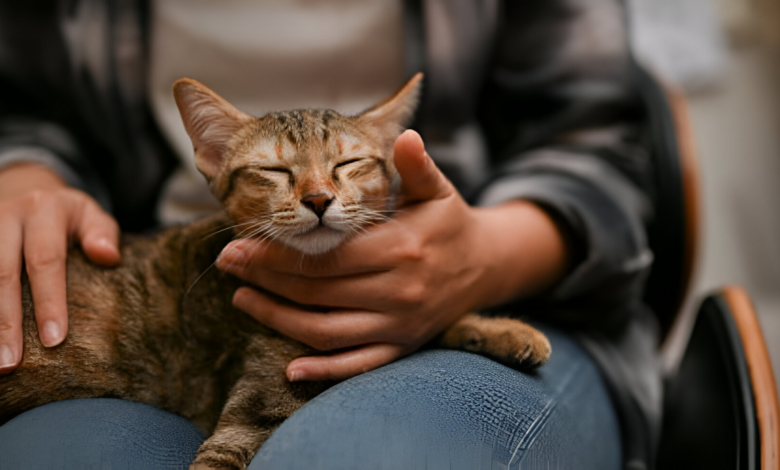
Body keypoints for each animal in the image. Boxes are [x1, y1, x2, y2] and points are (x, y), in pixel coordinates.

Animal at [0, 73, 552, 470]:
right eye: (274, 171)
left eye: (347, 163)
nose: (318, 199)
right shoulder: (255, 406)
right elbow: (223, 454)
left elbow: (428, 326)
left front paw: (503, 331)